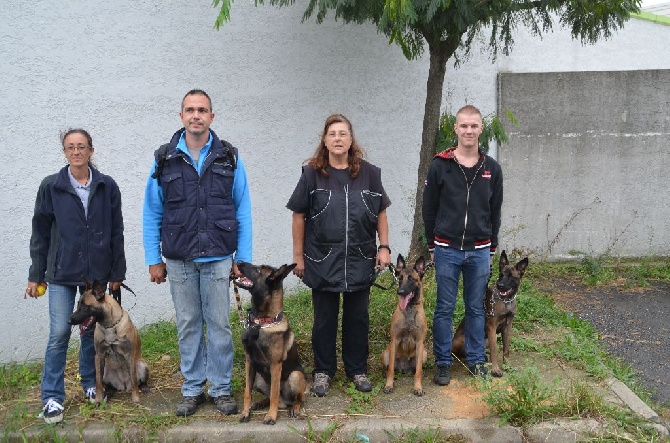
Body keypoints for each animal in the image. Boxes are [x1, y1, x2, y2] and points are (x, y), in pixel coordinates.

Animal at [235, 264, 308, 426]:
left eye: (258, 270)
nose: (239, 262)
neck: (261, 324)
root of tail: (284, 402)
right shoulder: (249, 361)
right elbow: (247, 392)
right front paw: (245, 412)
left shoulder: (275, 365)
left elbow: (274, 393)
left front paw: (271, 416)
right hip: (258, 379)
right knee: (268, 397)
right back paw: (259, 403)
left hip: (296, 376)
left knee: (298, 399)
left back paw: (295, 408)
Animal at [380, 255, 428, 398]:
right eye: (400, 279)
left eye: (412, 279)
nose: (400, 292)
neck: (409, 309)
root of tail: (404, 368)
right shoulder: (394, 340)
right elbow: (391, 369)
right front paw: (389, 385)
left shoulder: (420, 342)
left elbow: (418, 370)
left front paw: (418, 387)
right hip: (386, 354)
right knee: (389, 367)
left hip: (424, 353)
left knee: (417, 369)